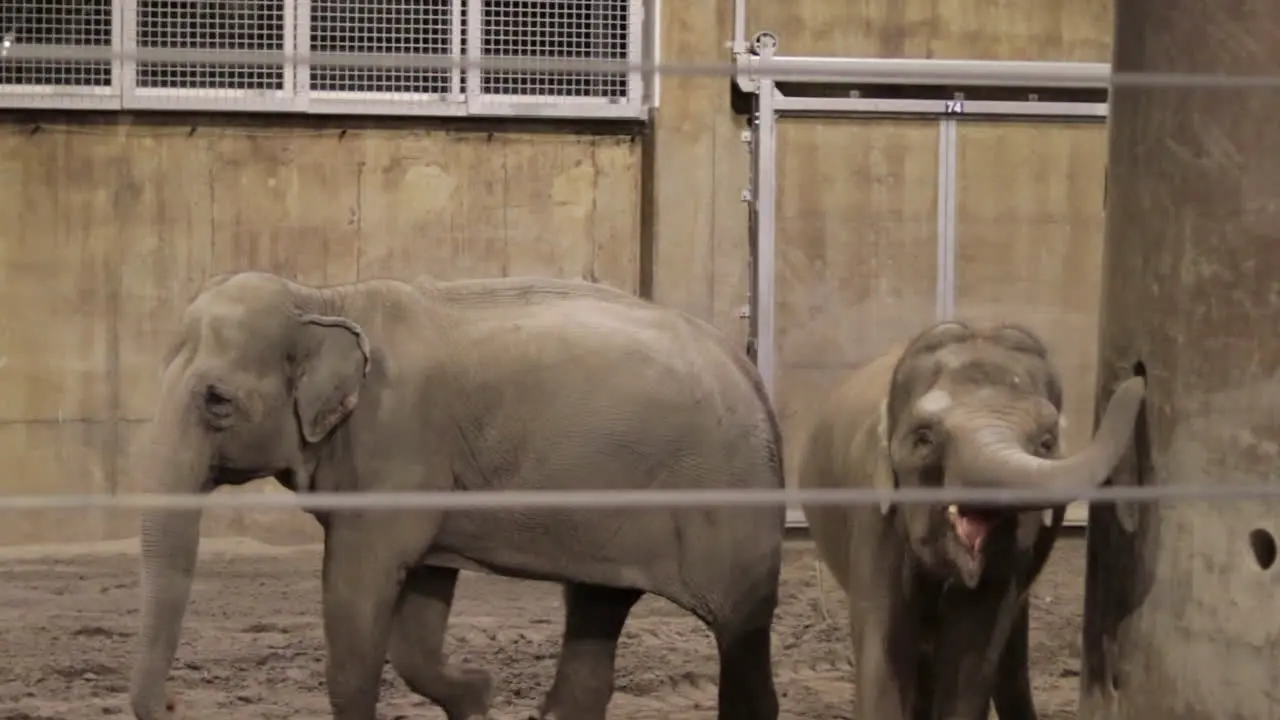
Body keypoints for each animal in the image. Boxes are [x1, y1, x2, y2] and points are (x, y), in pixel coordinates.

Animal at [132, 270, 788, 717]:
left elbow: (357, 590)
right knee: (597, 611)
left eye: (217, 400)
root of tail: (751, 372)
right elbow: (417, 616)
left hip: (732, 507)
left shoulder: (398, 442)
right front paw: (479, 697)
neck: (321, 298)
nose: (174, 703)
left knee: (741, 637)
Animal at [793, 320, 1146, 717]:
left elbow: (974, 647)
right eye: (924, 439)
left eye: (1046, 442)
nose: (1137, 381)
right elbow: (885, 640)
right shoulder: (873, 514)